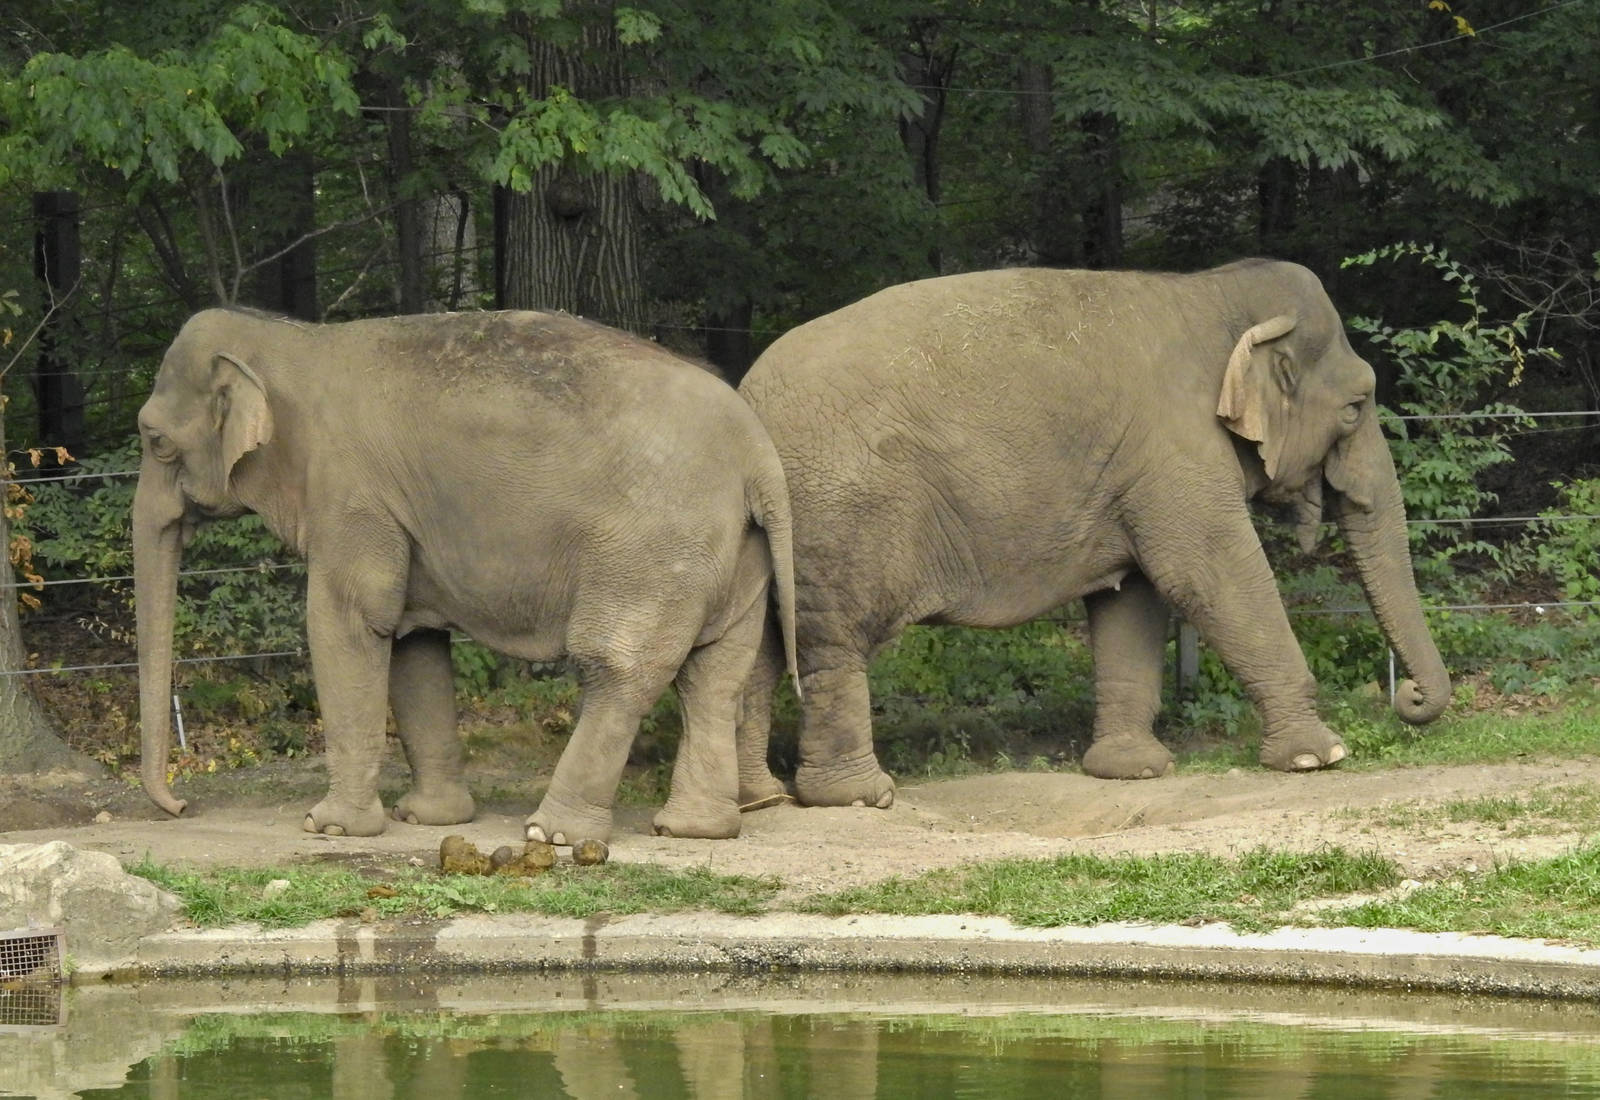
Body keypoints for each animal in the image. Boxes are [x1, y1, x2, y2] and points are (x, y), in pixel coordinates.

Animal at [134, 307, 797, 842]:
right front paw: (428, 819)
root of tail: (758, 452)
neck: (290, 338)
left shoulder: (353, 496)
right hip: (735, 555)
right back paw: (693, 830)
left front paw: (331, 827)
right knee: (715, 675)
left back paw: (552, 833)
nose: (181, 807)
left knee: (618, 667)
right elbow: (411, 638)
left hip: (650, 551)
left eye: (155, 439)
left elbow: (348, 623)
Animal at [733, 260, 1450, 810]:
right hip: (836, 522)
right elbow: (1208, 573)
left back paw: (759, 799)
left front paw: (1133, 771)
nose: (1411, 696)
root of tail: (748, 400)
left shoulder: (1134, 473)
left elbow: (1131, 597)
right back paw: (859, 796)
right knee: (832, 645)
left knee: (757, 650)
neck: (1213, 291)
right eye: (1355, 407)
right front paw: (1320, 756)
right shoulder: (1177, 451)